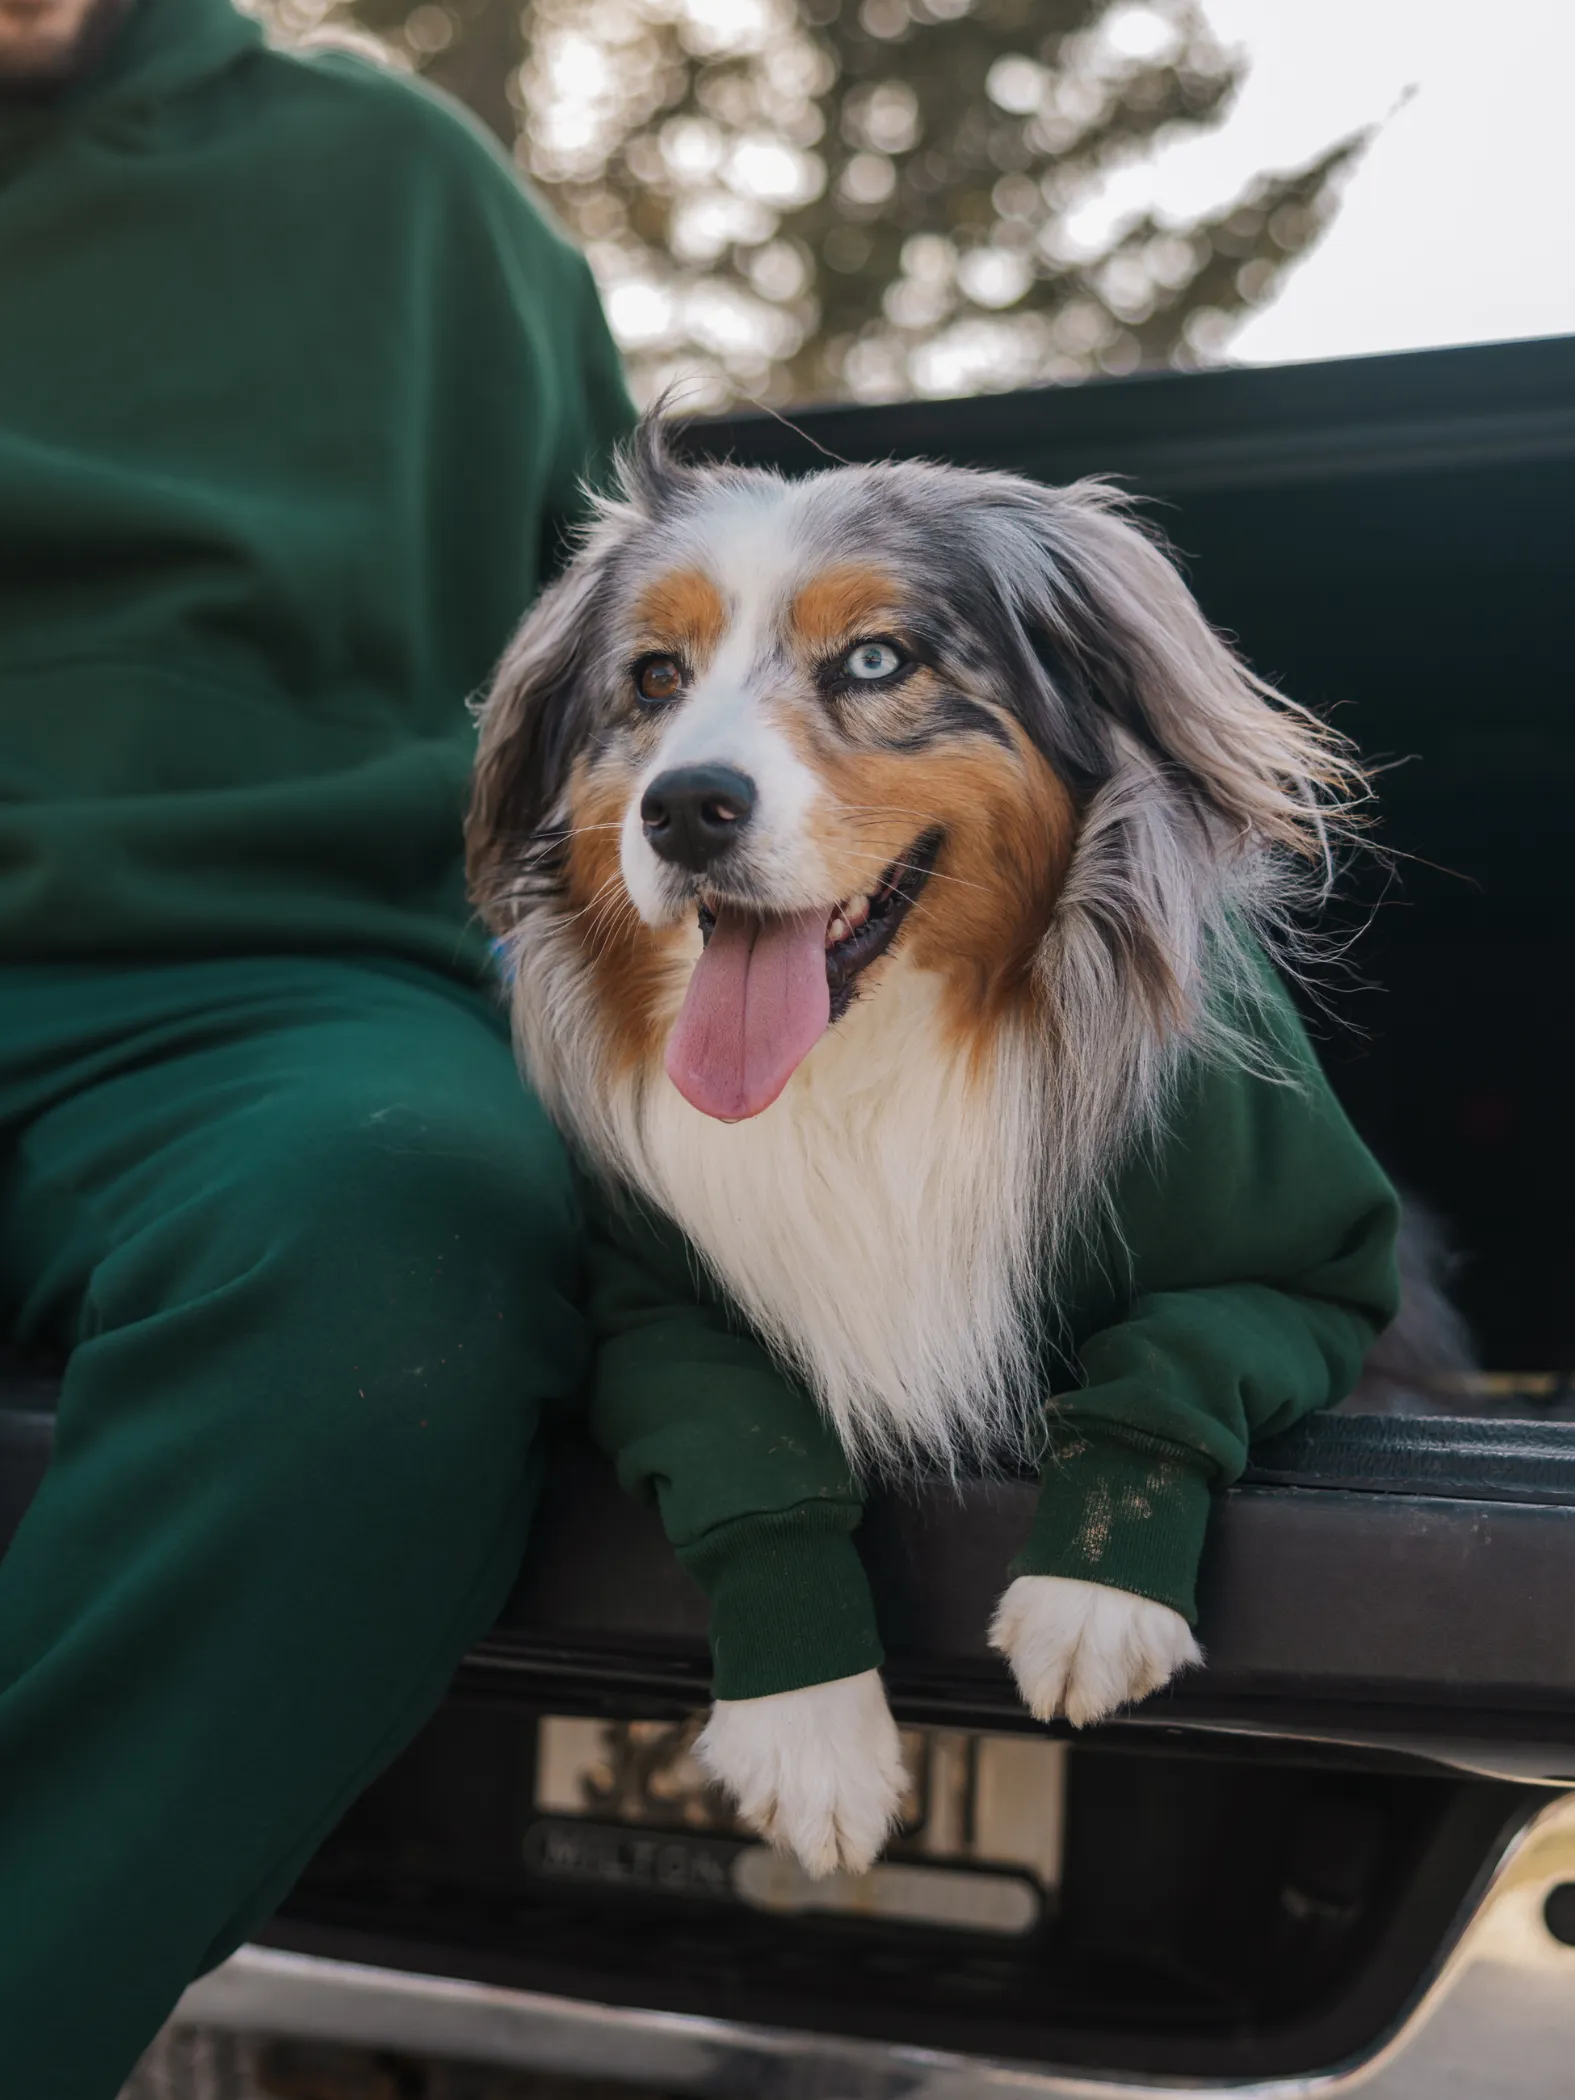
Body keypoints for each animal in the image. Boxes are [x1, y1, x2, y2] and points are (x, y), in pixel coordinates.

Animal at [468, 422, 1394, 1889]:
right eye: (655, 677)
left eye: (873, 661)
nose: (684, 809)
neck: (867, 1060)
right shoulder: (645, 1301)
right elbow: (747, 1445)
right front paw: (809, 1732)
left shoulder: (1312, 1268)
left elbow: (1186, 1351)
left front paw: (1092, 1595)